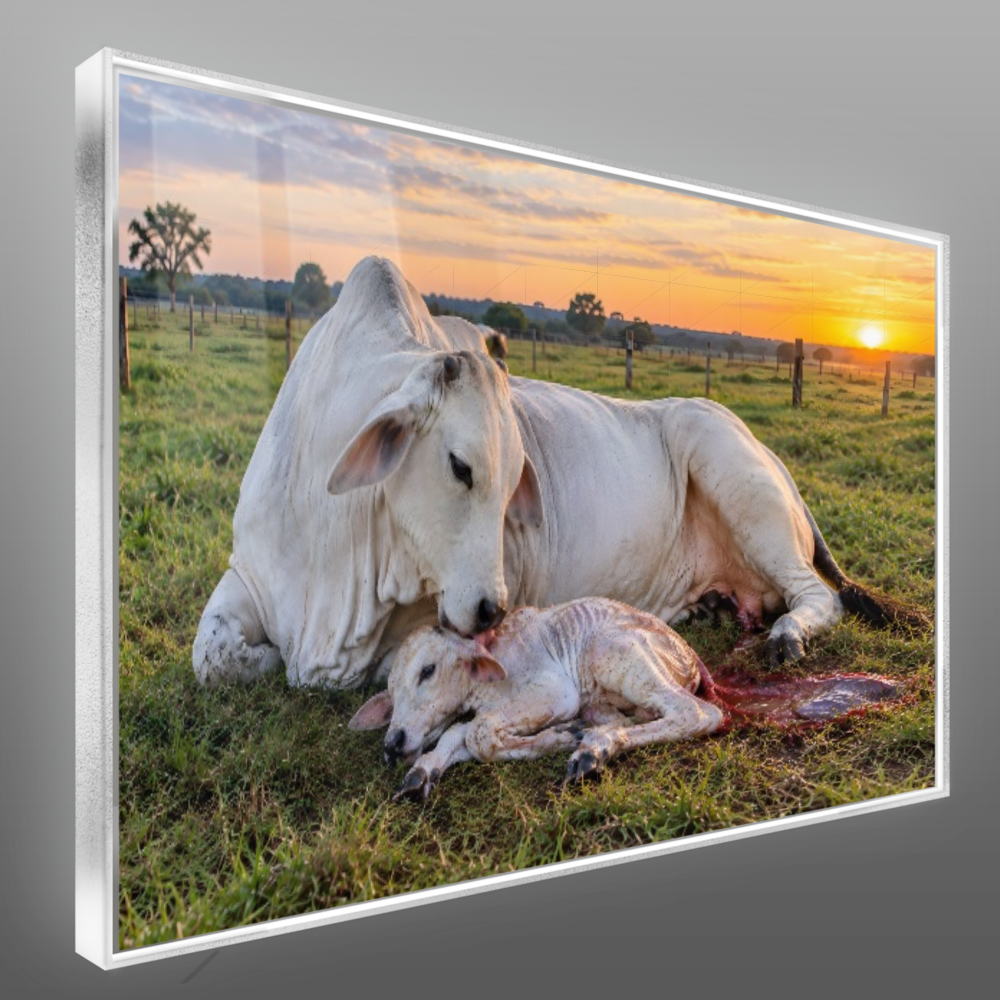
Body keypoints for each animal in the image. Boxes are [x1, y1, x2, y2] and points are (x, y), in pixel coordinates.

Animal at [193, 255, 916, 692]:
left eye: (514, 479)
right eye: (459, 466)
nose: (495, 608)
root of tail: (771, 456)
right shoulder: (246, 571)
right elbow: (213, 655)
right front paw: (262, 657)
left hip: (738, 479)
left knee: (817, 596)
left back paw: (788, 635)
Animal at [348, 598, 726, 799]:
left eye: (428, 670)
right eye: (392, 693)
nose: (392, 742)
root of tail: (689, 655)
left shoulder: (556, 692)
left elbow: (477, 735)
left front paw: (558, 738)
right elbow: (460, 734)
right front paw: (421, 772)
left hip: (612, 651)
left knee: (697, 713)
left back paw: (593, 749)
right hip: (603, 700)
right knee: (630, 717)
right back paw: (593, 737)